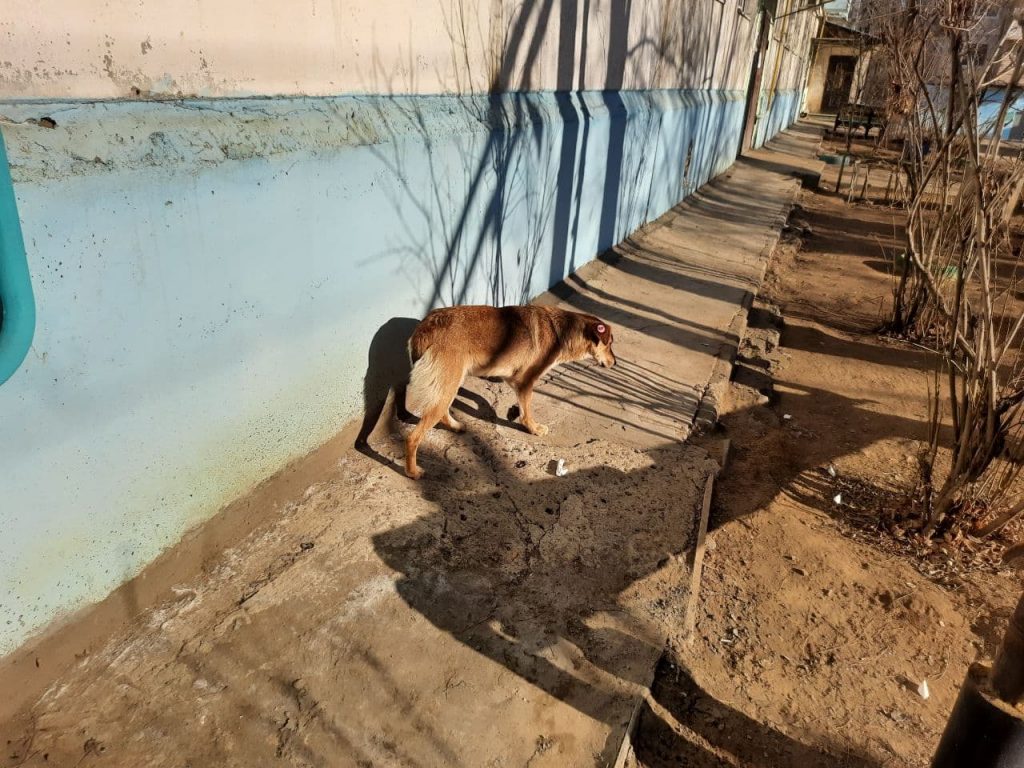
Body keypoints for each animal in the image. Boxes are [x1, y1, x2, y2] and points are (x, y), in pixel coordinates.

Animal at [401, 305, 614, 475]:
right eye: (609, 343)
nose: (615, 363)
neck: (562, 331)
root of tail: (427, 326)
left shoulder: (511, 378)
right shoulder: (525, 382)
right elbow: (526, 413)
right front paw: (533, 428)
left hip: (449, 385)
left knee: (442, 411)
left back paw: (454, 426)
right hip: (447, 384)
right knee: (413, 437)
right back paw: (413, 472)